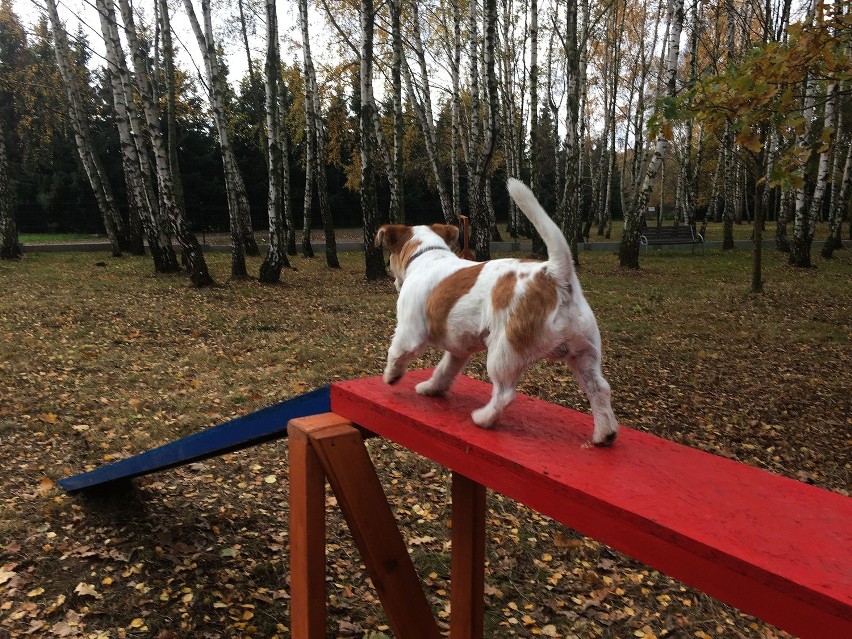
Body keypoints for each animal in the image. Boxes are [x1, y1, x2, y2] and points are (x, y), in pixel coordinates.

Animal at [372, 178, 620, 448]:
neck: (428, 253)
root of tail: (554, 273)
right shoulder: (459, 349)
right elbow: (444, 370)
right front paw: (432, 388)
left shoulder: (409, 333)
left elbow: (395, 353)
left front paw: (391, 376)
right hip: (584, 354)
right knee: (599, 389)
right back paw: (604, 433)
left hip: (503, 353)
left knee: (505, 393)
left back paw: (483, 418)